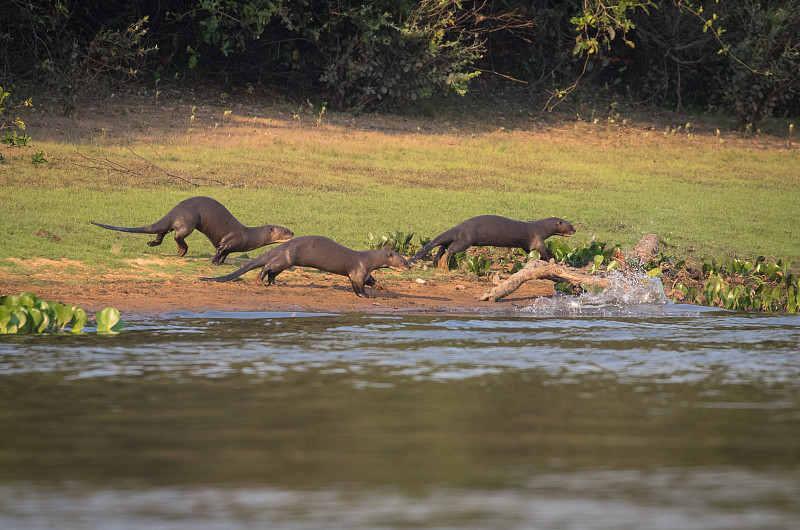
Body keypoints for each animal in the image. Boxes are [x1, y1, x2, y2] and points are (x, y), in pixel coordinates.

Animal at [93, 196, 294, 264]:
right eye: (285, 230)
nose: (293, 233)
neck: (247, 235)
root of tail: (174, 210)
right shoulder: (229, 241)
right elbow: (219, 251)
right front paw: (214, 262)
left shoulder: (232, 247)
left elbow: (225, 254)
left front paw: (221, 263)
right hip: (189, 220)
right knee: (177, 234)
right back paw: (182, 250)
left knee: (163, 231)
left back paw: (153, 243)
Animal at [200, 235, 412, 296]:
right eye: (403, 261)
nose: (410, 266)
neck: (367, 260)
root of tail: (281, 246)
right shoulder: (357, 272)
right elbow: (358, 286)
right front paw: (365, 296)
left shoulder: (366, 272)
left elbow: (372, 280)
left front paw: (382, 288)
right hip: (286, 258)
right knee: (267, 267)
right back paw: (260, 281)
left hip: (284, 262)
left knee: (272, 272)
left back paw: (274, 284)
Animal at [412, 214, 576, 268]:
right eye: (571, 226)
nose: (575, 230)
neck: (541, 228)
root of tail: (458, 227)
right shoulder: (537, 239)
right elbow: (542, 253)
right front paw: (550, 260)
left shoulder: (530, 245)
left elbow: (543, 251)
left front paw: (554, 256)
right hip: (466, 239)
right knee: (451, 249)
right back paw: (445, 263)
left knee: (443, 246)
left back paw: (436, 263)